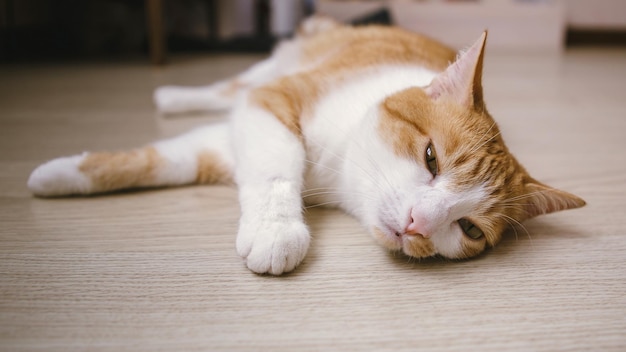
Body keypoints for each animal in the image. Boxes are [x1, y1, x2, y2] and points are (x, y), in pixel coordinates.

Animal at [28, 16, 584, 276]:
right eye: (431, 158)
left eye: (468, 229)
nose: (418, 224)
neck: (340, 178)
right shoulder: (273, 103)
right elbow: (279, 162)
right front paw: (277, 230)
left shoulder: (226, 142)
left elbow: (163, 160)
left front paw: (59, 175)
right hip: (275, 68)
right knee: (229, 87)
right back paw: (174, 94)